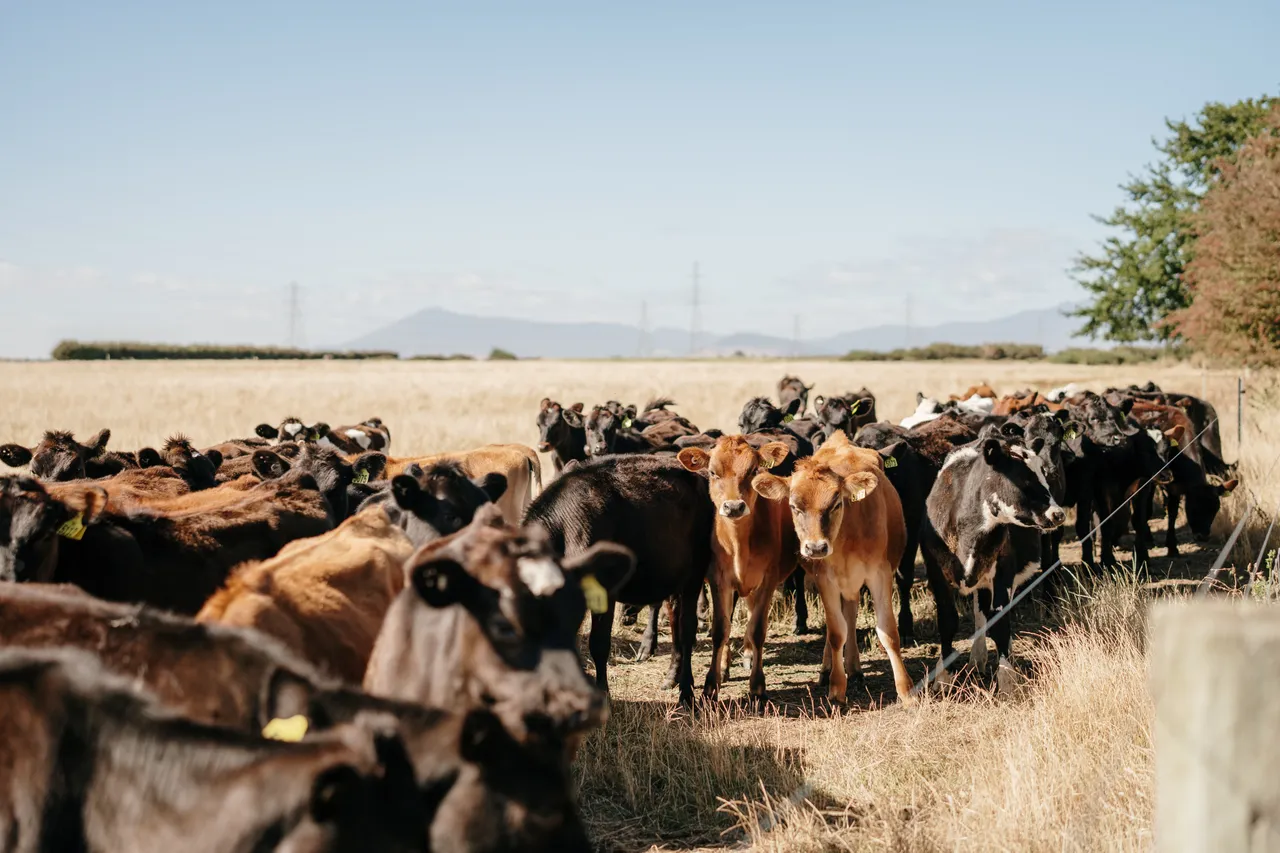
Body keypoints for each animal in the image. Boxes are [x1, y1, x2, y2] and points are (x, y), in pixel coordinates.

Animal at [523, 454, 713, 706]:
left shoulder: (605, 591)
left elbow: (598, 644)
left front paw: (603, 696)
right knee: (675, 620)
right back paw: (672, 677)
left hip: (695, 573)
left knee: (688, 627)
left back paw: (686, 693)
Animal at [676, 436, 801, 702]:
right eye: (713, 472)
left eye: (753, 470)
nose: (734, 507)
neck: (738, 544)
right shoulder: (719, 580)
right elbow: (720, 629)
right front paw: (711, 685)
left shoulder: (767, 580)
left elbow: (757, 630)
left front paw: (757, 686)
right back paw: (725, 666)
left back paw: (748, 655)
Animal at [751, 431, 914, 705]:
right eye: (794, 507)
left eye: (836, 503)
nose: (816, 548)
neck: (846, 536)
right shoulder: (825, 579)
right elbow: (837, 633)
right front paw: (837, 688)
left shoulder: (880, 574)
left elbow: (888, 632)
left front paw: (906, 689)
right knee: (837, 624)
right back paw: (829, 670)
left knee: (850, 612)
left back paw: (855, 669)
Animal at [920, 429, 1068, 691]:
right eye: (1024, 480)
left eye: (1043, 475)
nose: (1058, 514)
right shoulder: (936, 570)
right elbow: (947, 621)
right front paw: (943, 677)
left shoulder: (1003, 571)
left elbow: (1000, 622)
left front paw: (1007, 678)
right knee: (980, 612)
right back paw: (976, 659)